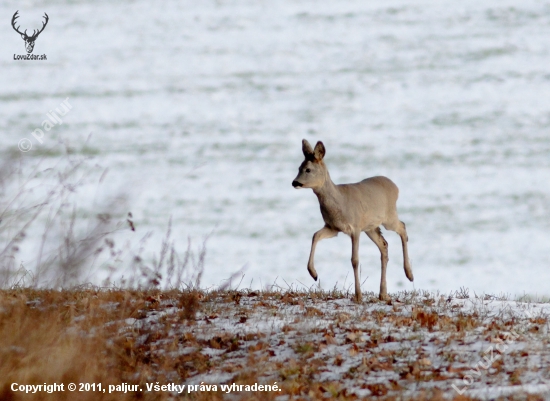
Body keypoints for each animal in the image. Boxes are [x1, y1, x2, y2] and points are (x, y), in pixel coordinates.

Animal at [294, 139, 414, 302]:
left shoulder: (355, 227)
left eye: (308, 170)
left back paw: (409, 274)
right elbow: (315, 235)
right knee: (384, 244)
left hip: (389, 216)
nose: (295, 182)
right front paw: (313, 273)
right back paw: (383, 293)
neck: (339, 202)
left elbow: (355, 260)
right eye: (299, 167)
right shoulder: (333, 227)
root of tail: (395, 186)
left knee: (402, 227)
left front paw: (358, 295)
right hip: (370, 227)